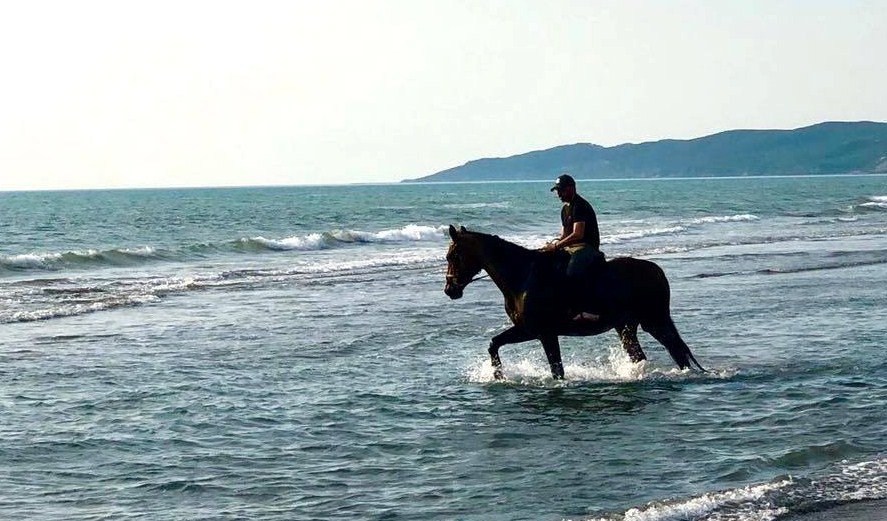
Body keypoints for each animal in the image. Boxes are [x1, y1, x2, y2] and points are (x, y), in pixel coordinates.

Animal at [448, 223, 704, 378]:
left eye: (453, 255)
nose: (450, 289)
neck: (523, 276)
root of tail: (657, 271)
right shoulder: (528, 329)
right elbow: (494, 344)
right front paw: (498, 375)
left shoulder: (543, 332)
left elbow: (557, 370)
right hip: (626, 325)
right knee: (641, 355)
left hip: (654, 321)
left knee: (676, 350)